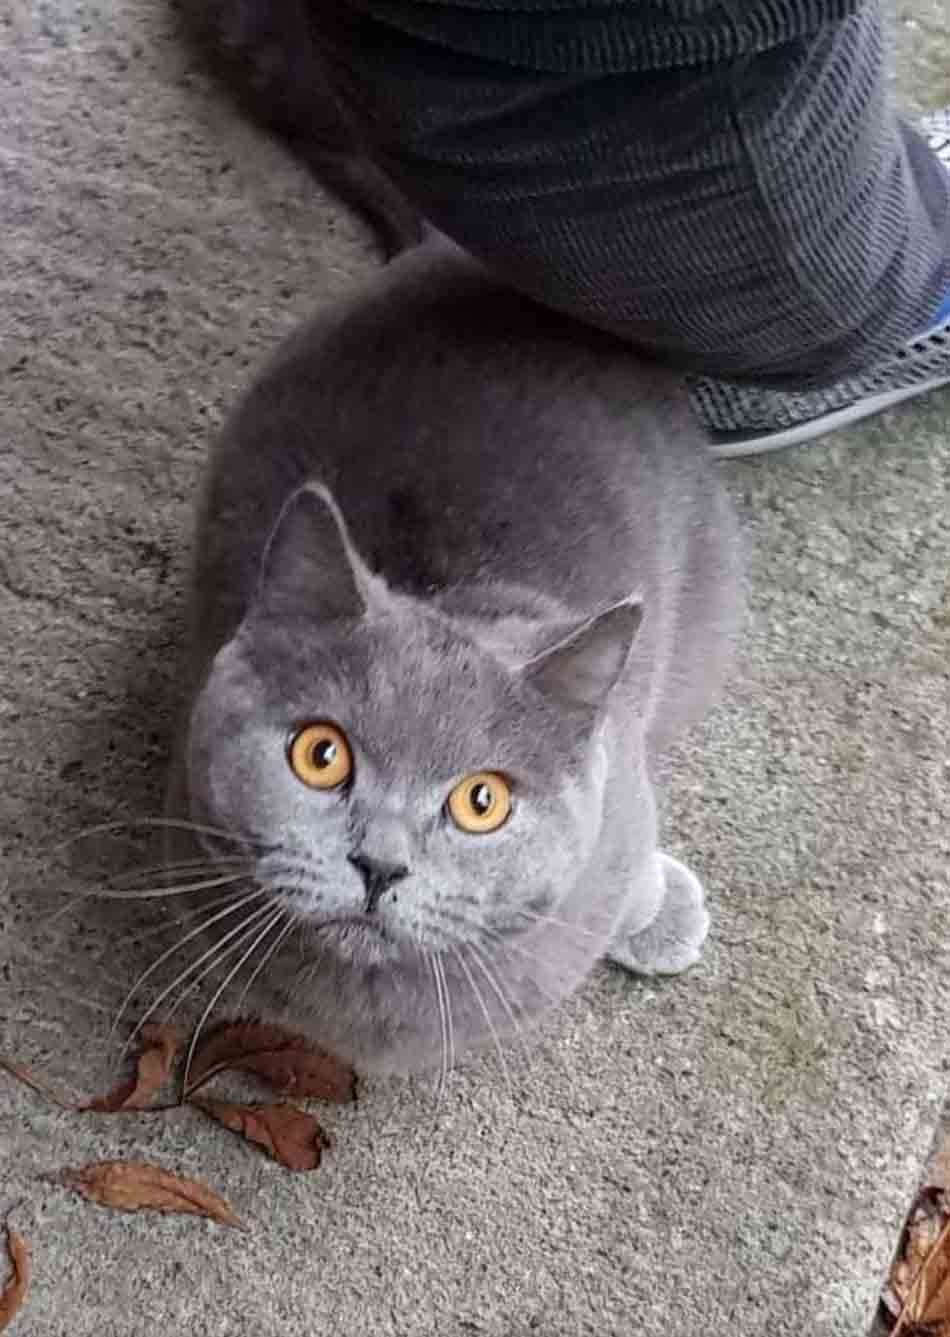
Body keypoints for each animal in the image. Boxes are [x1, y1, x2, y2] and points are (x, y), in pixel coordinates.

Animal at [172, 235, 748, 1074]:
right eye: (320, 754)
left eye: (483, 801)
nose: (380, 864)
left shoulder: (625, 799)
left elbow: (631, 867)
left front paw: (658, 914)